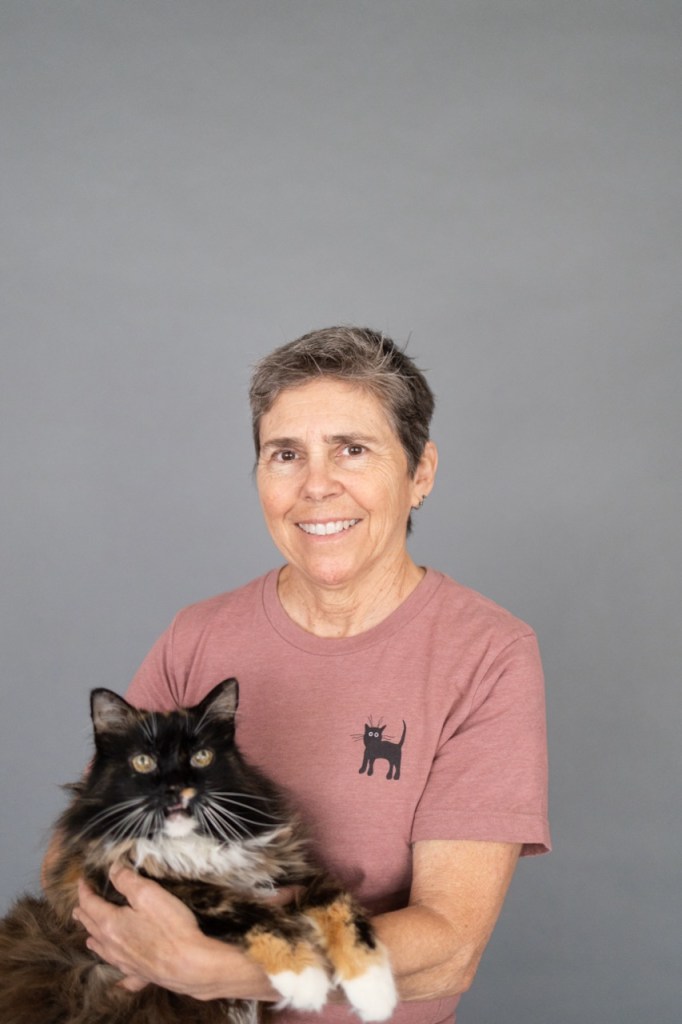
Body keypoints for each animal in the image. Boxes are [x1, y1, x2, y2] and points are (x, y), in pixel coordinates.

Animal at [0, 679, 397, 1024]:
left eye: (202, 757)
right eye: (143, 762)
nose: (178, 788)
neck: (189, 845)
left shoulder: (294, 871)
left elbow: (342, 910)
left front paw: (374, 990)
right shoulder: (143, 885)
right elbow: (249, 910)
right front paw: (305, 979)